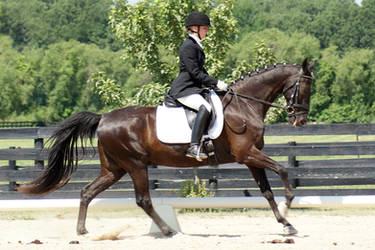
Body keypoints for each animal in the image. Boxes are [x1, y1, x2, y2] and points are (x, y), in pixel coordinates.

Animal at [19, 58, 316, 236]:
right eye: (304, 88)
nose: (300, 120)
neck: (245, 105)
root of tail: (103, 118)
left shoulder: (250, 158)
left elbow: (266, 191)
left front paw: (286, 224)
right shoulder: (248, 154)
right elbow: (283, 170)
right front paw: (289, 206)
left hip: (114, 169)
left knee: (87, 192)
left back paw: (81, 230)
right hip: (135, 165)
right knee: (143, 200)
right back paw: (168, 231)